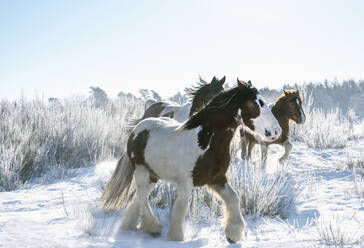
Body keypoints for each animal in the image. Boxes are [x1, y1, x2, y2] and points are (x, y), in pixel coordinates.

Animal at [100, 79, 282, 242]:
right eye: (257, 104)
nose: (276, 131)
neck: (205, 142)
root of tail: (138, 128)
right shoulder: (186, 183)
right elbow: (180, 209)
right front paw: (176, 238)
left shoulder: (217, 179)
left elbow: (234, 198)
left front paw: (233, 235)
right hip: (141, 171)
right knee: (142, 196)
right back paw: (152, 228)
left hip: (153, 176)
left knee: (139, 196)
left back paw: (129, 225)